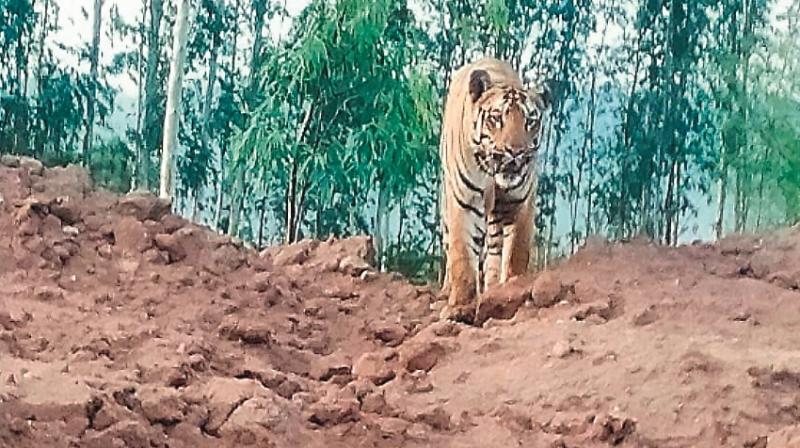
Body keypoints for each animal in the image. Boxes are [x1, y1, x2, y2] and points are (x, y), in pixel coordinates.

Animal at [438, 57, 556, 322]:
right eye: (496, 118)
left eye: (530, 121)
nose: (515, 152)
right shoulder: (465, 201)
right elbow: (462, 256)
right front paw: (460, 307)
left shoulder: (521, 202)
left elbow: (515, 253)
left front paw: (512, 291)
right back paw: (446, 291)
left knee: (494, 249)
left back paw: (494, 288)